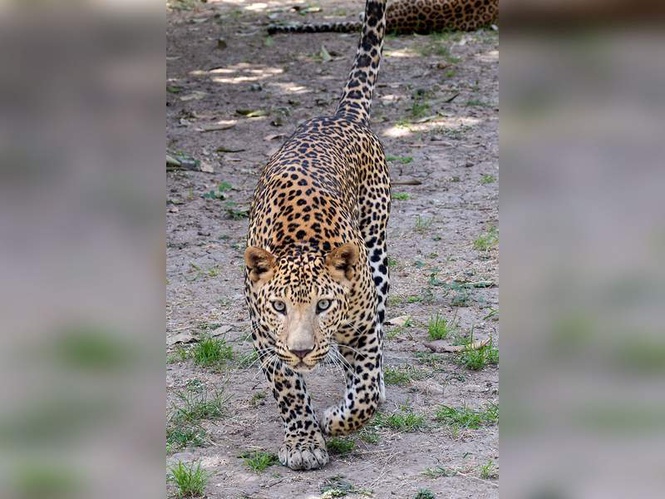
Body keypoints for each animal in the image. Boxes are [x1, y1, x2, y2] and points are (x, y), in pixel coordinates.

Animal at [244, 0, 390, 471]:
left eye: (323, 305)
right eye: (279, 307)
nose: (303, 351)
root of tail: (340, 116)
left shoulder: (362, 327)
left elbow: (364, 393)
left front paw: (334, 420)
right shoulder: (265, 337)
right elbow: (288, 390)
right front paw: (304, 441)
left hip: (378, 252)